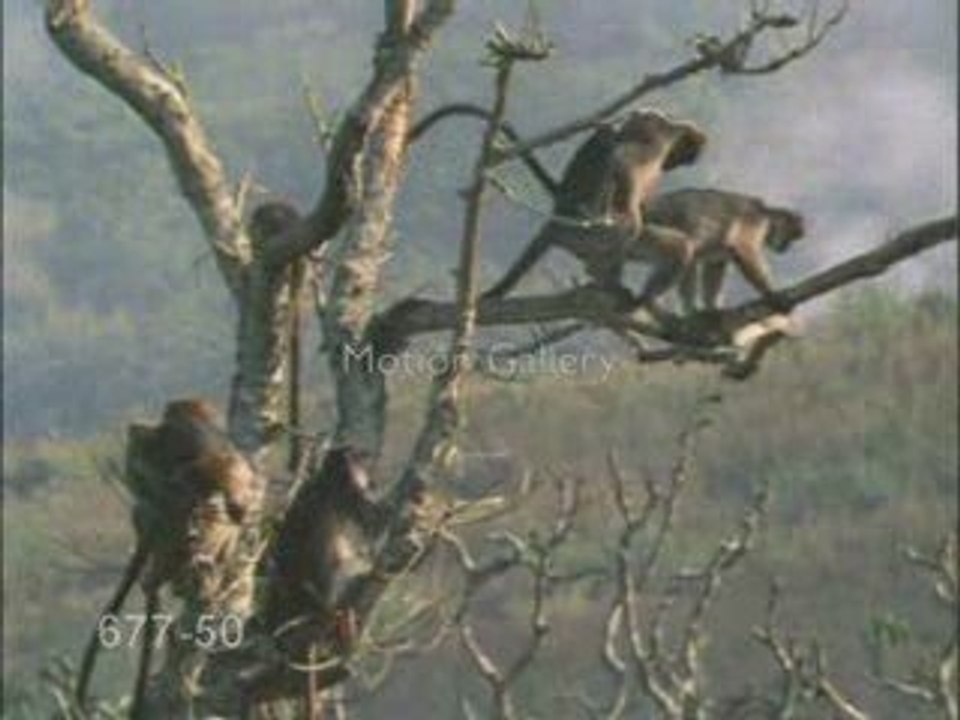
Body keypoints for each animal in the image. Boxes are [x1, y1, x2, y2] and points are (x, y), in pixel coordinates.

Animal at [480, 109, 707, 302]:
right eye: (683, 157)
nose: (671, 165)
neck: (672, 126)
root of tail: (559, 219)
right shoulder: (657, 135)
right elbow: (623, 160)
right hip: (587, 234)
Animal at [643, 188, 805, 314]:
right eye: (789, 238)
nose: (785, 248)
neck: (763, 212)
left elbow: (715, 265)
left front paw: (712, 307)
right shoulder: (753, 220)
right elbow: (744, 248)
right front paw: (772, 294)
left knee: (690, 260)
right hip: (650, 232)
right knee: (684, 250)